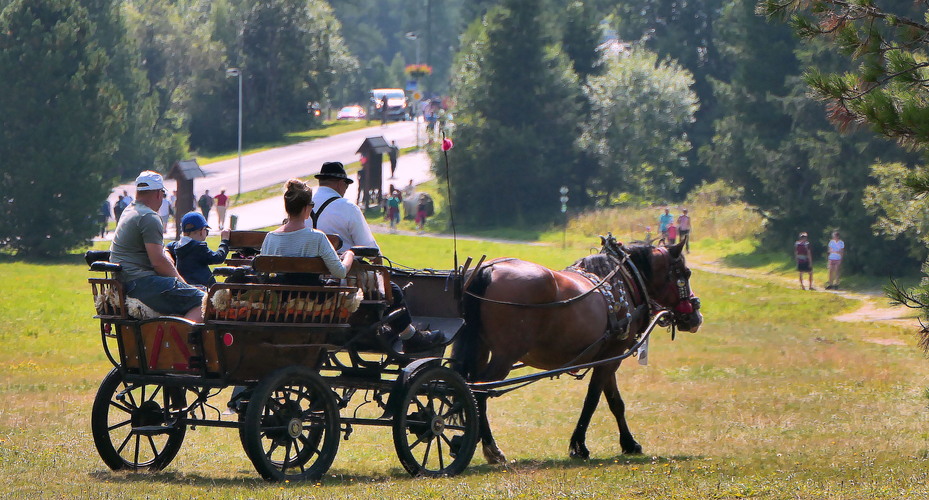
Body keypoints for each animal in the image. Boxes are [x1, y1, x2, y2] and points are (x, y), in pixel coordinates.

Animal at [454, 236, 700, 462]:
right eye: (685, 273)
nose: (696, 315)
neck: (623, 281)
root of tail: (488, 269)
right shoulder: (612, 357)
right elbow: (593, 400)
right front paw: (579, 446)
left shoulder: (606, 356)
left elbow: (615, 402)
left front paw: (629, 443)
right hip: (505, 356)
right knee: (479, 390)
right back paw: (491, 448)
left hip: (481, 349)